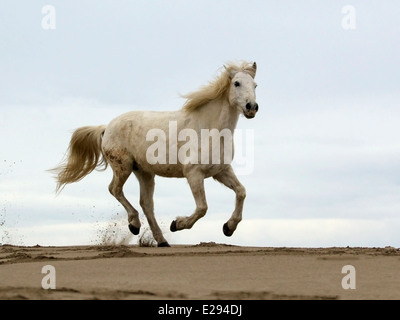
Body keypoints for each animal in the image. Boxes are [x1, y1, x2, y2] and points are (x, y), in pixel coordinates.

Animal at [52, 61, 260, 246]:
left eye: (255, 85)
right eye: (237, 83)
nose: (252, 107)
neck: (209, 129)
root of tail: (106, 127)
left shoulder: (221, 171)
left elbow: (241, 192)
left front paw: (228, 228)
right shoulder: (193, 173)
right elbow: (202, 208)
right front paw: (177, 224)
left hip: (144, 172)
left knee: (146, 204)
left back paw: (161, 241)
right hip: (123, 167)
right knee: (115, 190)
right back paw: (135, 224)